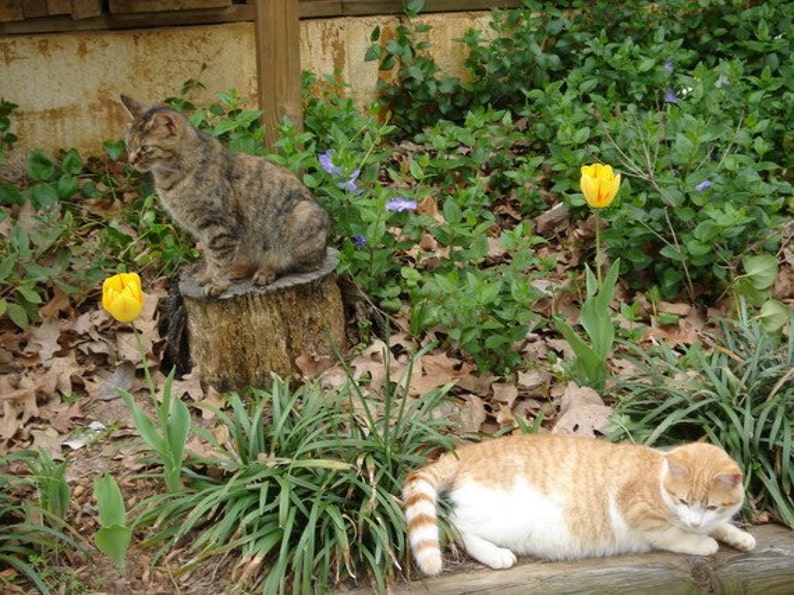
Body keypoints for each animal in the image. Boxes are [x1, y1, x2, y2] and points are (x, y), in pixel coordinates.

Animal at [118, 95, 328, 298]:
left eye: (145, 148)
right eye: (128, 145)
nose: (131, 161)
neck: (170, 178)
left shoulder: (219, 227)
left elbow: (219, 260)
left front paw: (217, 284)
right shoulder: (202, 230)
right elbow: (210, 258)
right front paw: (208, 276)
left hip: (301, 217)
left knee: (300, 264)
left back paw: (265, 271)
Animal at [406, 434, 752, 576]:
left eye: (711, 507)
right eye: (683, 501)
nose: (695, 521)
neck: (658, 477)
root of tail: (469, 450)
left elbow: (720, 526)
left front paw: (738, 536)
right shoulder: (639, 512)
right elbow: (677, 536)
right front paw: (703, 542)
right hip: (502, 518)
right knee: (457, 527)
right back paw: (495, 555)